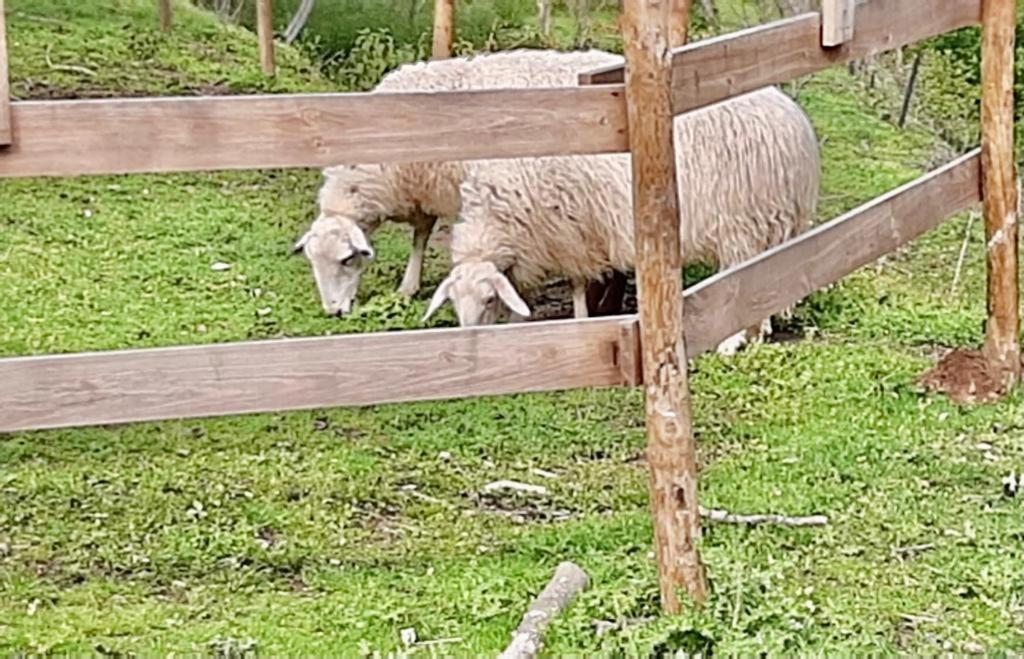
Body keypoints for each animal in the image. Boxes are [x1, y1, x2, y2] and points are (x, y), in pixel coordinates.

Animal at [290, 47, 622, 315]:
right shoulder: (426, 189)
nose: (333, 311)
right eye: (311, 261)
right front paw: (410, 285)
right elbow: (421, 234)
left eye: (346, 259)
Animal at [423, 86, 823, 356]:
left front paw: (581, 322)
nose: (465, 342)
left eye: (489, 299)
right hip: (770, 221)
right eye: (453, 301)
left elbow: (578, 285)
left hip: (740, 223)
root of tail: (792, 121)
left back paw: (731, 340)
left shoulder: (573, 234)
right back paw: (762, 327)